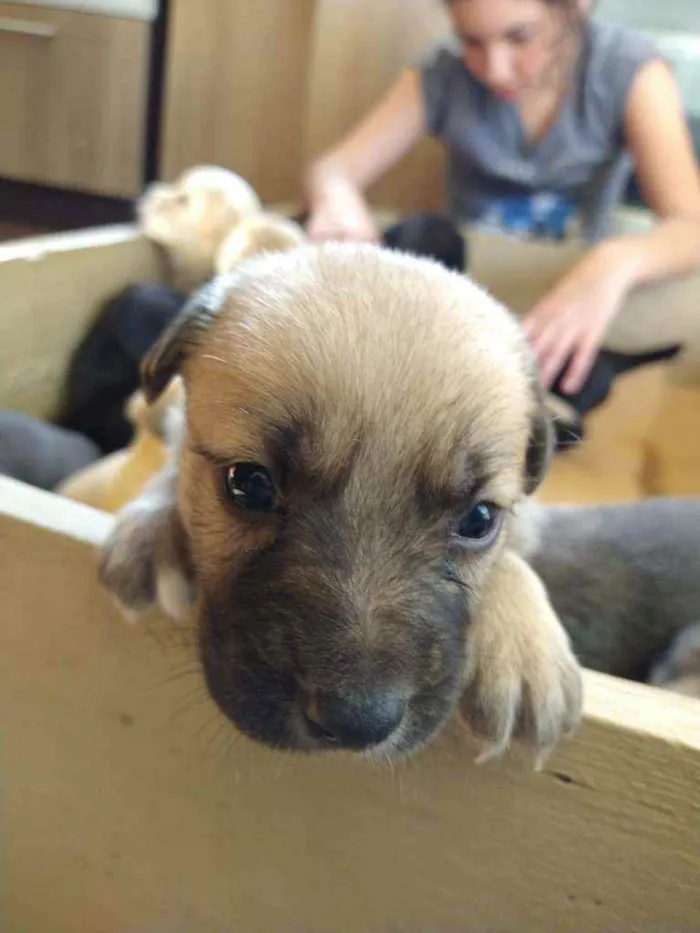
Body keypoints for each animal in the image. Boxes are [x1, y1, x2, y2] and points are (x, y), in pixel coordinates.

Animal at [98, 246, 580, 764]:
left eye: (479, 519)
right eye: (249, 484)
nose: (357, 722)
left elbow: (512, 557)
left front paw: (525, 650)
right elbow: (173, 467)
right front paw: (151, 532)